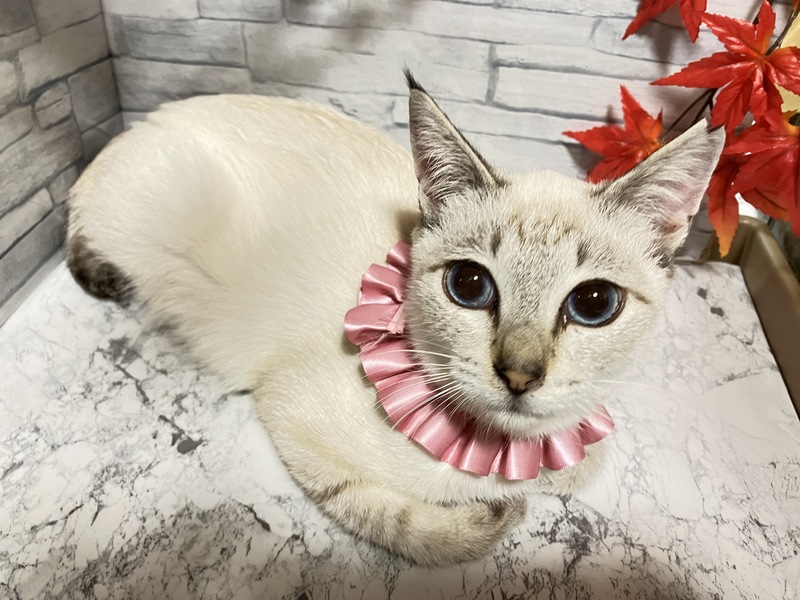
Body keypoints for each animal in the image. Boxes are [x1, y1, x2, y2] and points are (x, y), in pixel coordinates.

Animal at [66, 72, 724, 566]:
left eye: (593, 305)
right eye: (469, 286)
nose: (519, 375)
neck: (505, 454)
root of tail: (136, 125)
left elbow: (585, 461)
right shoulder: (289, 413)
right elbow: (390, 517)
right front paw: (487, 521)